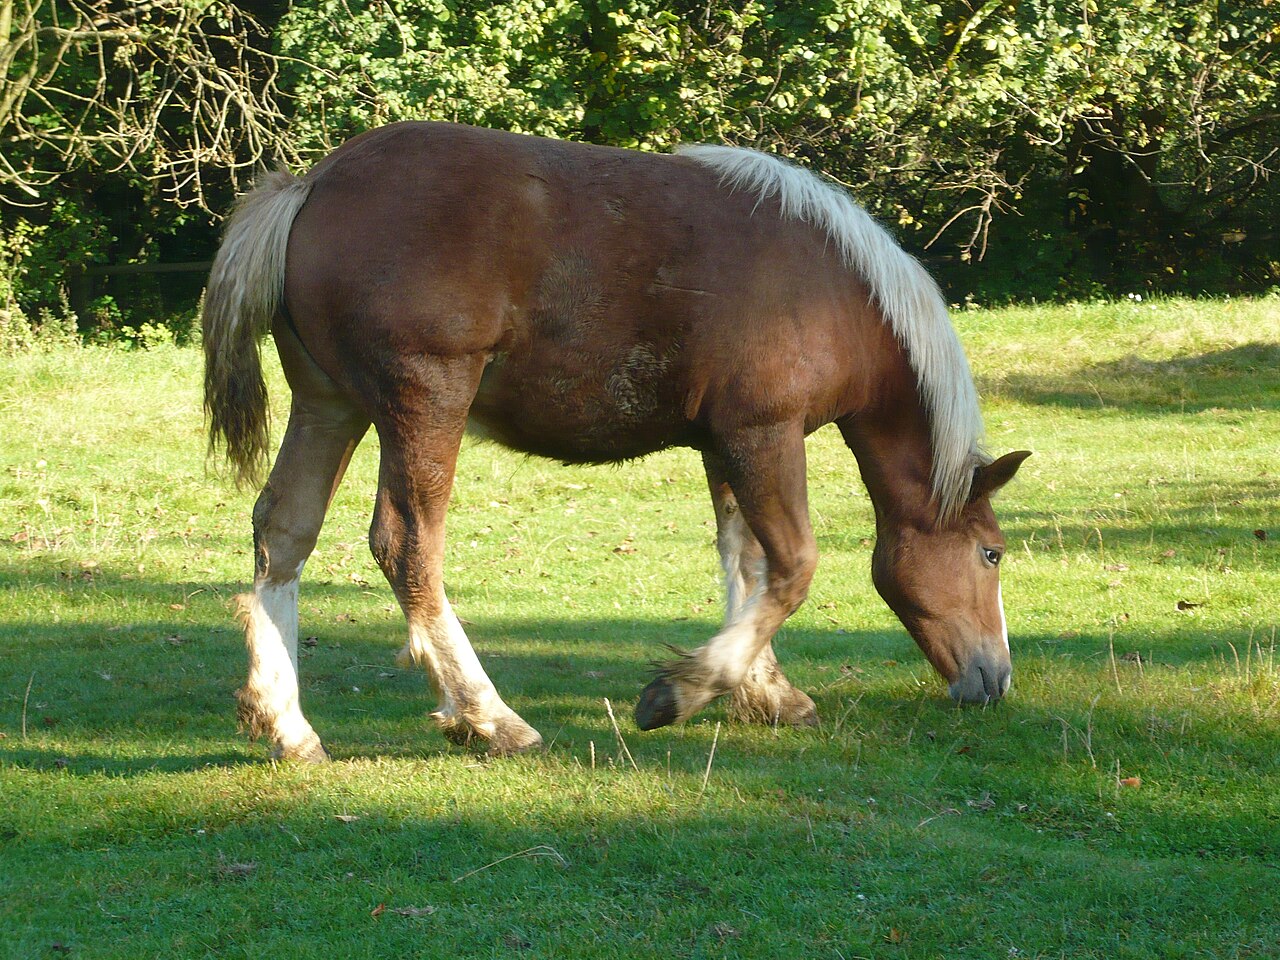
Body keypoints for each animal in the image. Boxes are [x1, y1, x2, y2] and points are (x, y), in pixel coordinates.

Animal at [203, 121, 1030, 760]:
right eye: (991, 553)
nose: (996, 679)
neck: (830, 289)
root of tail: (311, 185)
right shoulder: (764, 435)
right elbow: (791, 568)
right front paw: (681, 692)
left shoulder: (725, 445)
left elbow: (748, 566)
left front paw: (763, 690)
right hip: (425, 403)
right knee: (406, 545)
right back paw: (488, 716)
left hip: (329, 405)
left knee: (284, 531)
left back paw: (289, 727)